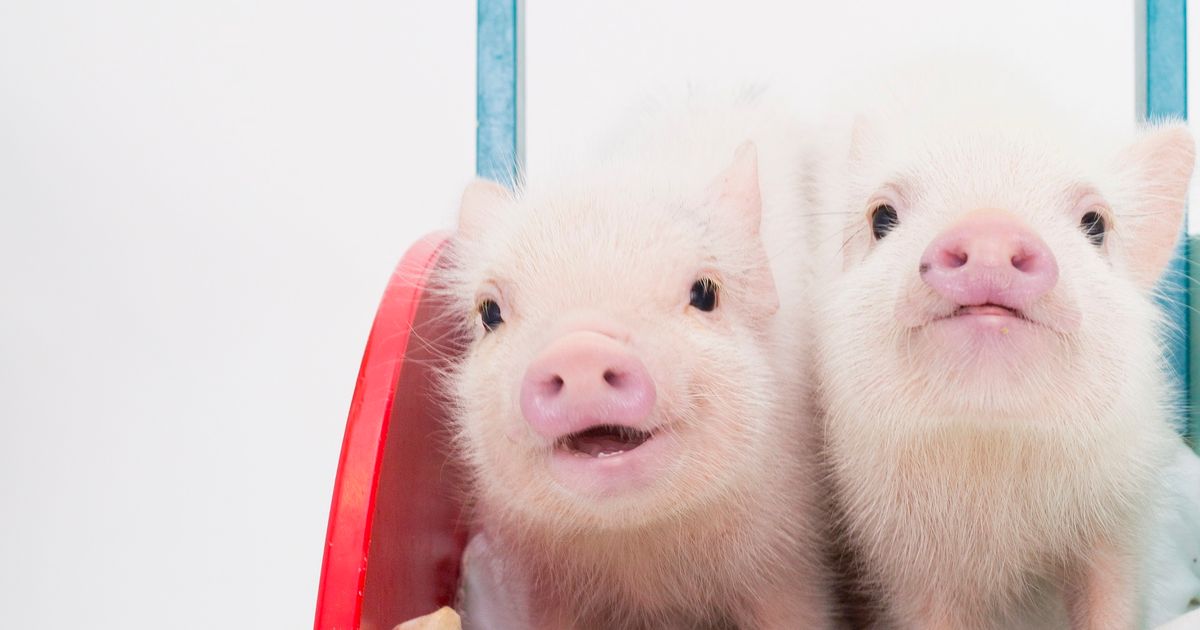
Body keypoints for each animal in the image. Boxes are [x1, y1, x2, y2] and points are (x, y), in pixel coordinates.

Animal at [815, 69, 1196, 630]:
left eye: (1096, 223)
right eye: (882, 217)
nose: (989, 229)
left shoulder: (1120, 522)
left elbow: (1110, 601)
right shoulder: (905, 556)